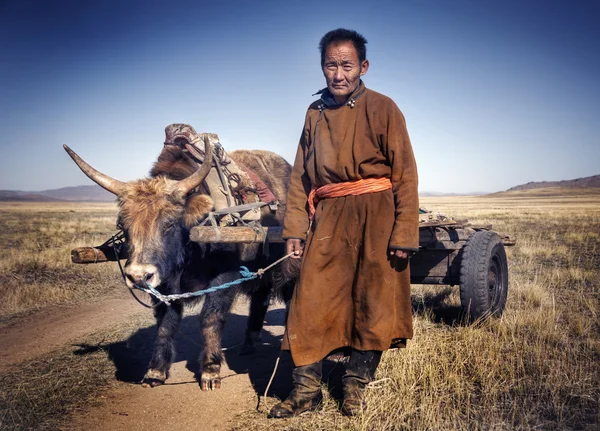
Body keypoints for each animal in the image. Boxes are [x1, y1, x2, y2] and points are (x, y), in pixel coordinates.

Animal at [65, 139, 296, 392]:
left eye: (169, 224)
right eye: (123, 226)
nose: (138, 277)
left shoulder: (225, 277)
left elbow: (210, 319)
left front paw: (210, 371)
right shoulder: (163, 285)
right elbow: (166, 323)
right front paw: (155, 371)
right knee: (260, 298)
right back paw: (249, 342)